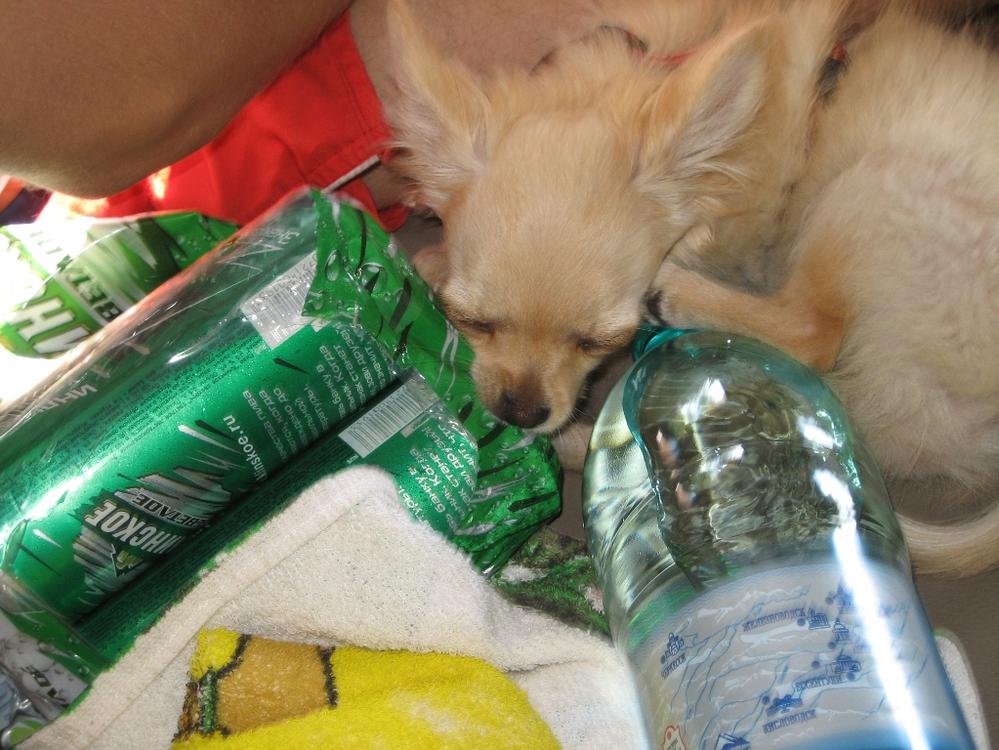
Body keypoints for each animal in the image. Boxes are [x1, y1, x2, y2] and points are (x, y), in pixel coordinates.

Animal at [385, 0, 999, 577]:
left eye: (600, 342)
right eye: (470, 320)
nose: (521, 410)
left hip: (874, 184)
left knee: (817, 330)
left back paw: (672, 301)